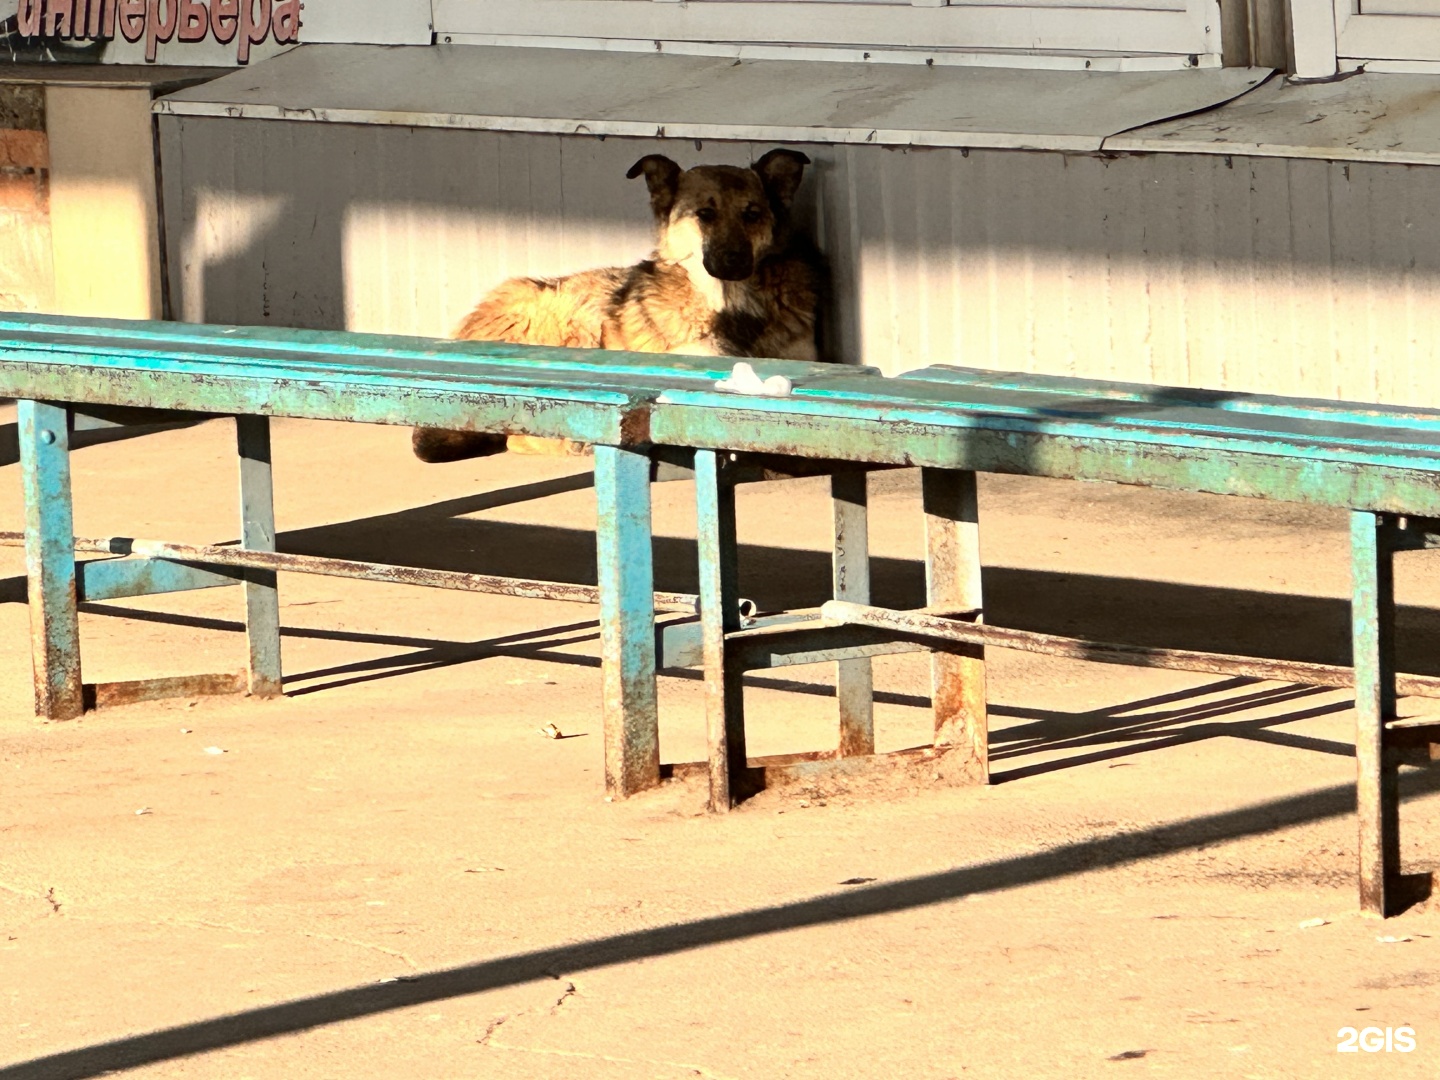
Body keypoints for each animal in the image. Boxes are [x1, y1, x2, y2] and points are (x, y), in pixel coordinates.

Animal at [411, 146, 829, 463]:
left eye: (752, 214)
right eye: (705, 214)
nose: (734, 260)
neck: (734, 306)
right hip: (572, 316)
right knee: (520, 432)